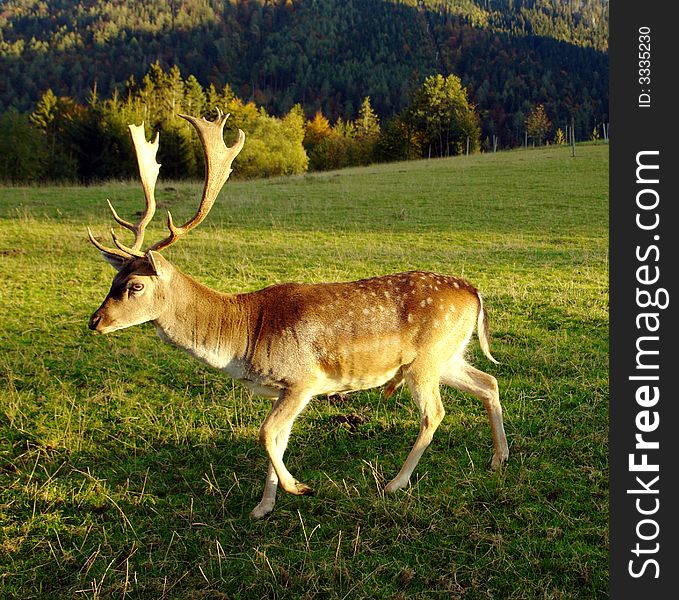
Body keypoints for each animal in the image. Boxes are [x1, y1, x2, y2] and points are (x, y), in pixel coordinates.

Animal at [86, 109, 510, 520]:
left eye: (135, 286)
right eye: (113, 277)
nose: (95, 321)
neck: (245, 339)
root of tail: (474, 292)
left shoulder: (303, 379)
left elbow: (264, 434)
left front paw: (297, 488)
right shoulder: (283, 390)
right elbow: (278, 438)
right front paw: (264, 506)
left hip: (425, 361)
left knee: (434, 414)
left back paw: (394, 483)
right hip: (446, 356)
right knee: (488, 382)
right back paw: (498, 459)